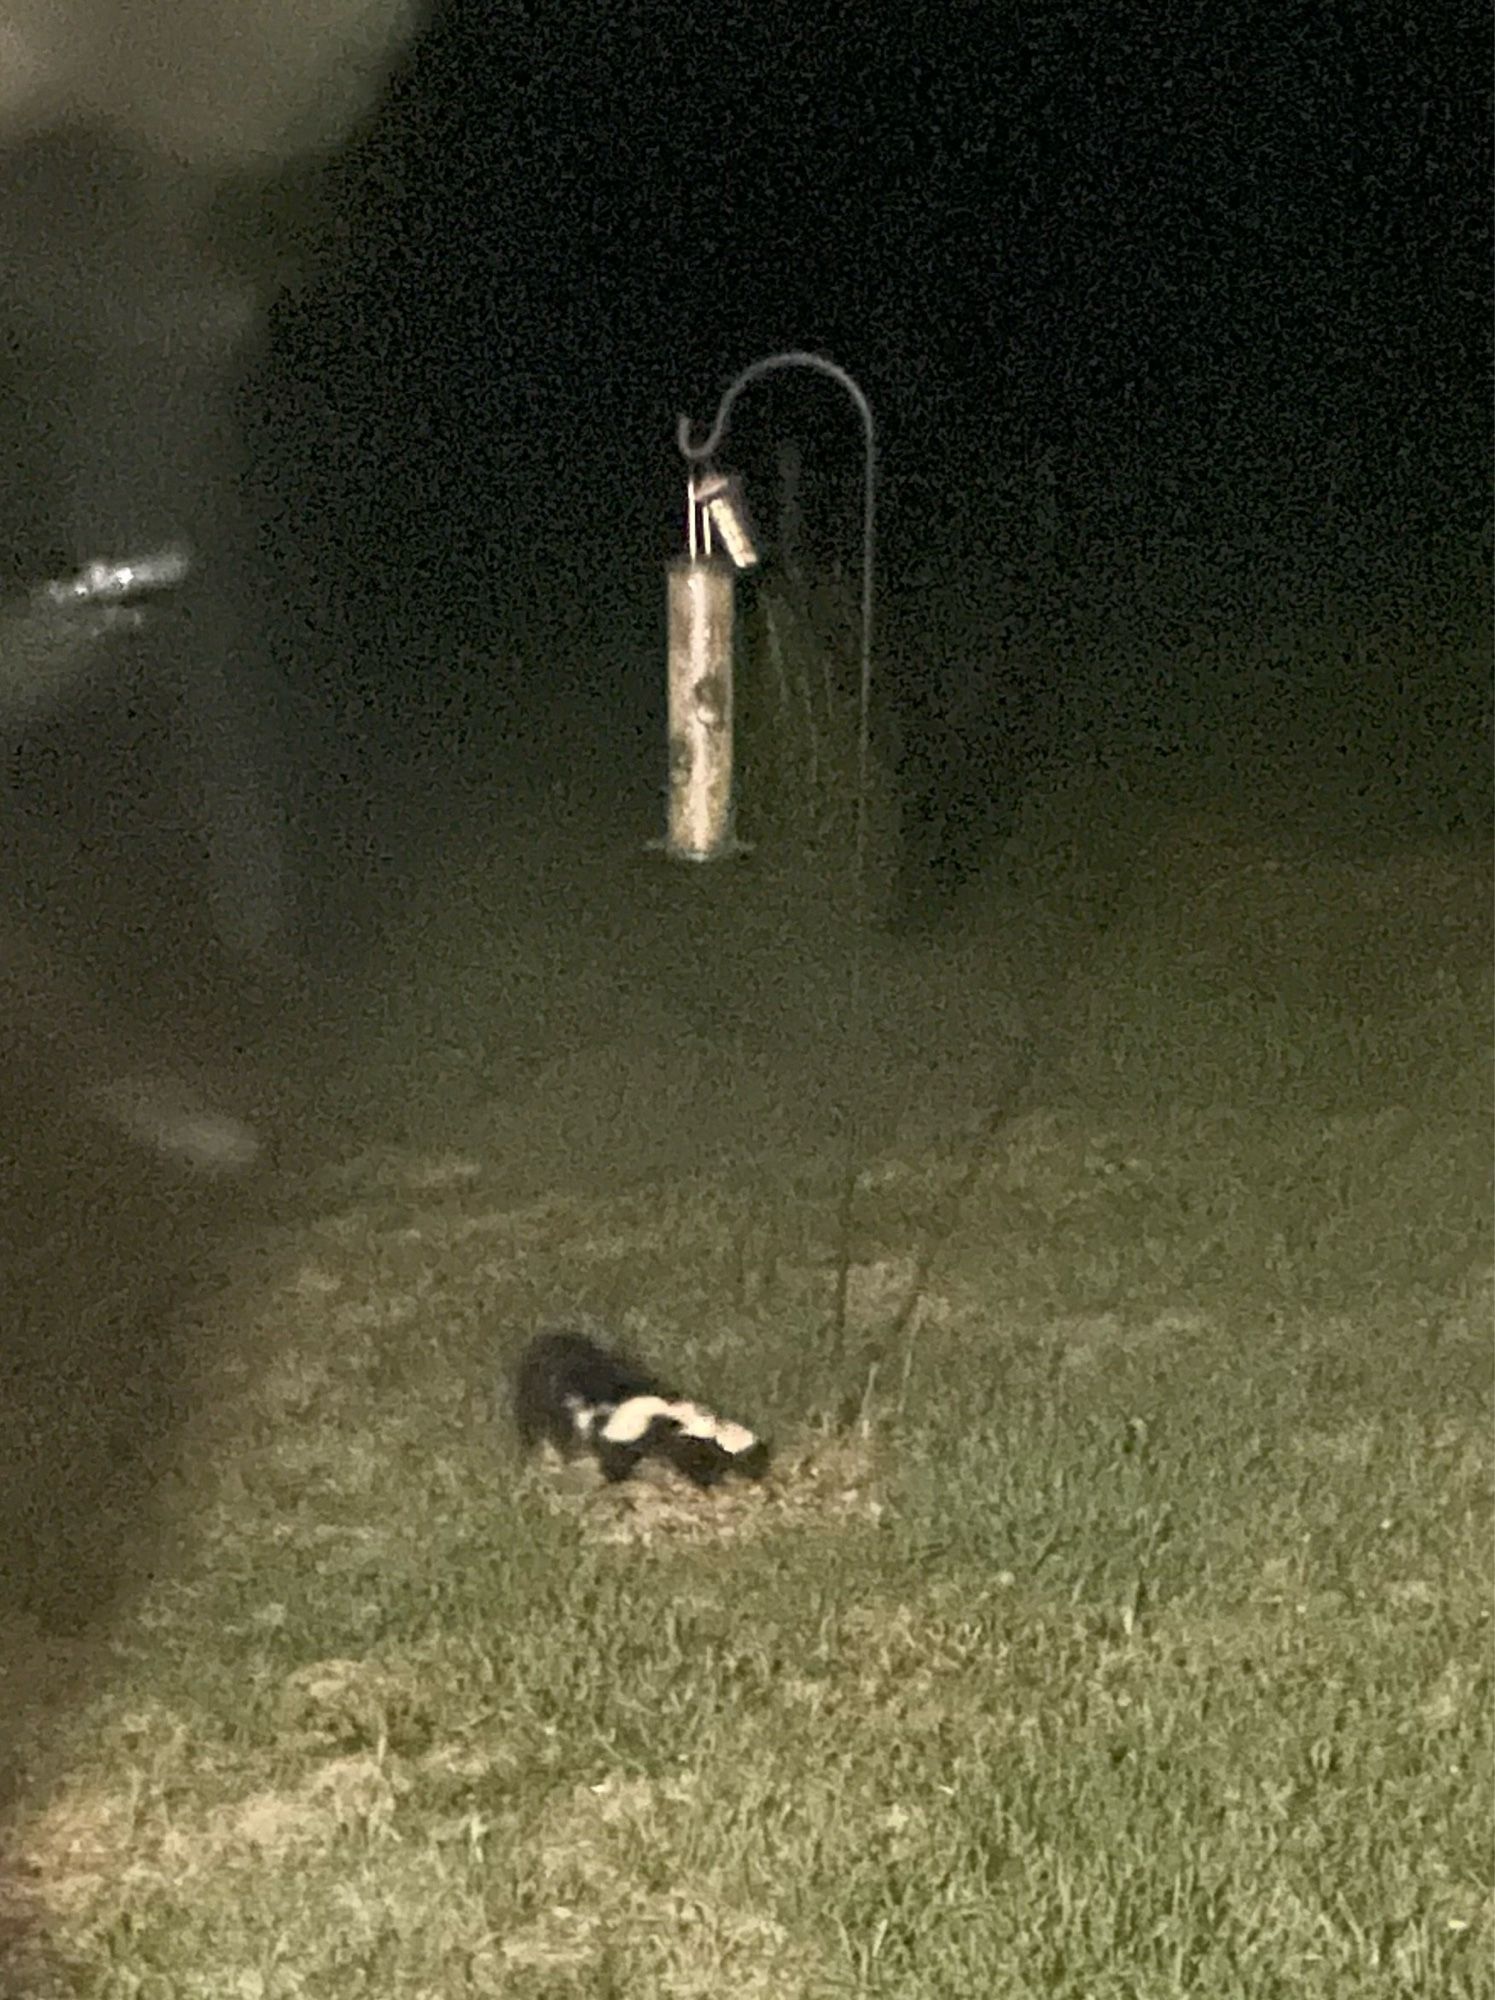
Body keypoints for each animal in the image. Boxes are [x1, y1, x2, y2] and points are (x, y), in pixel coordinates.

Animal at [515, 1328, 771, 1488]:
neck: (715, 1432)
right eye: (755, 1462)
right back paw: (618, 1481)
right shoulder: (691, 1448)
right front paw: (709, 1484)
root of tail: (605, 1405)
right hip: (625, 1437)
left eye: (761, 1460)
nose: (762, 1476)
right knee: (615, 1461)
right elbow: (697, 1468)